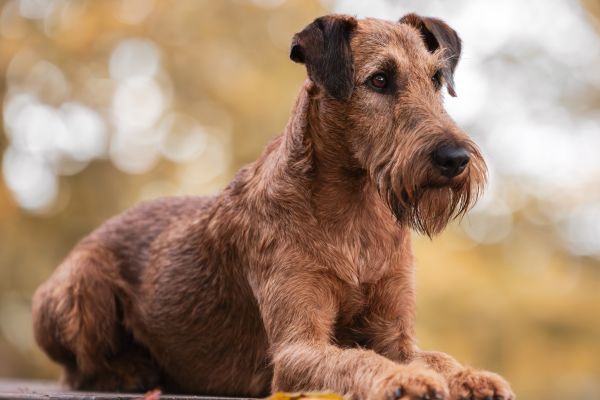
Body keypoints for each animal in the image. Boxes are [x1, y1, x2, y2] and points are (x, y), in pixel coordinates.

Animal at [30, 13, 512, 400]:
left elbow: (436, 357)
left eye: (436, 80)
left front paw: (473, 377)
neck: (355, 212)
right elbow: (356, 359)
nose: (455, 159)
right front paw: (405, 380)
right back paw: (128, 372)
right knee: (77, 371)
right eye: (379, 79)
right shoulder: (297, 348)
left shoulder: (395, 332)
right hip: (84, 284)